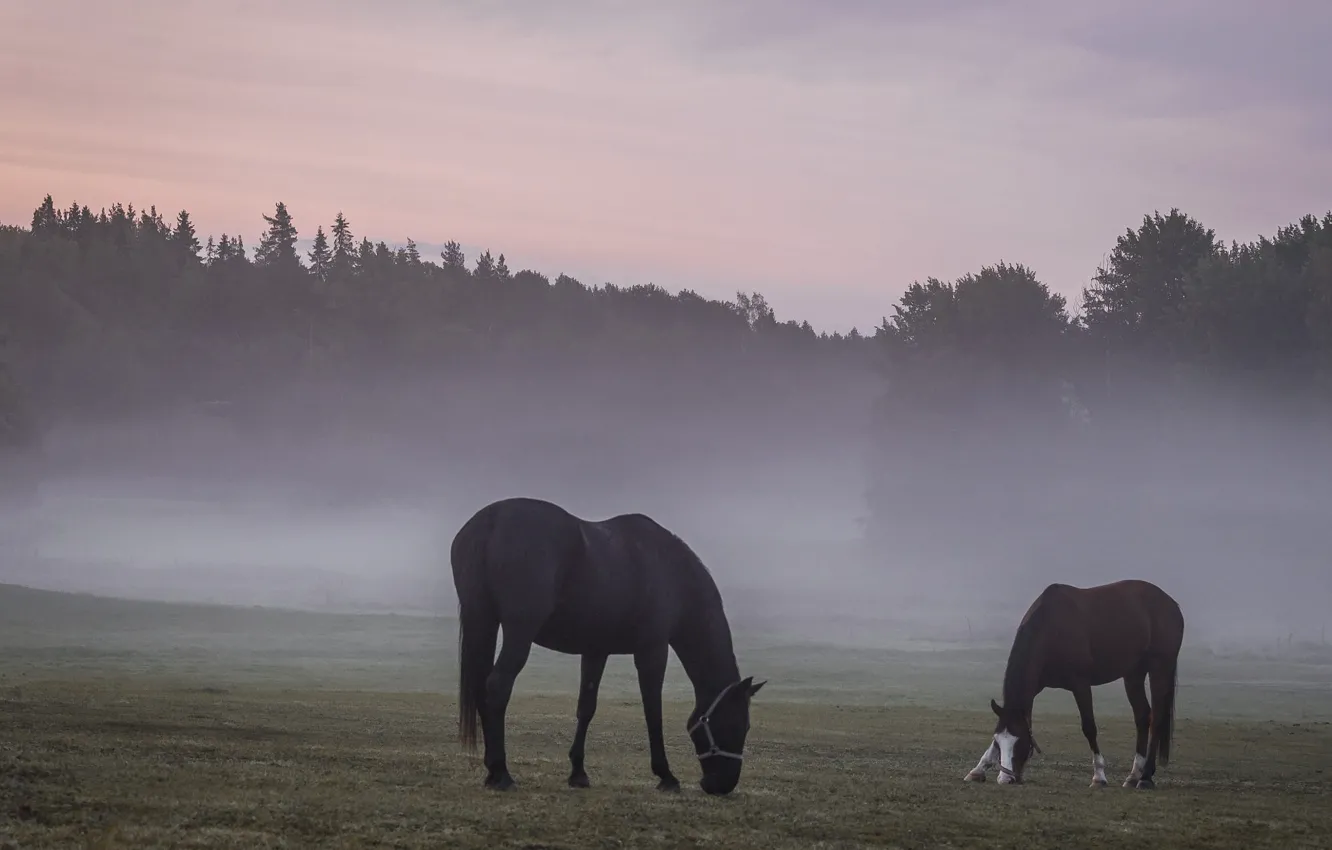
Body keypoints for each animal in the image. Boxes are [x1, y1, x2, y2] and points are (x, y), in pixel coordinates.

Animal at [450, 496, 766, 795]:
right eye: (738, 724)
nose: (723, 785)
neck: (670, 573)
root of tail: (489, 521)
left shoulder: (595, 651)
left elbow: (586, 708)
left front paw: (578, 773)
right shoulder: (652, 650)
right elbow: (653, 710)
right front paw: (666, 775)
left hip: (486, 621)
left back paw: (492, 772)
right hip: (519, 632)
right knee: (497, 686)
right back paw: (501, 772)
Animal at [964, 579, 1184, 790]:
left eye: (1019, 742)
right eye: (999, 743)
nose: (1006, 779)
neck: (1052, 628)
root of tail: (1171, 604)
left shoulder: (1081, 685)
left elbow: (1089, 727)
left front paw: (1099, 776)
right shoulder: (1034, 687)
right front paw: (977, 770)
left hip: (1159, 668)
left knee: (1156, 719)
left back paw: (1145, 777)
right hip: (1133, 674)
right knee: (1142, 716)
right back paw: (1133, 775)